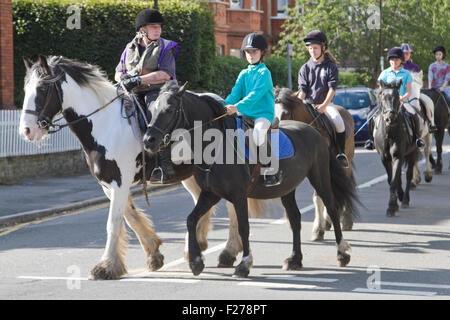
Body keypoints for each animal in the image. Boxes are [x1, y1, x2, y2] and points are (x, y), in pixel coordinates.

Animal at [274, 87, 356, 240]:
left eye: (286, 114)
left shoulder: (319, 167)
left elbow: (318, 197)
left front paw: (318, 230)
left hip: (345, 161)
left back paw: (346, 221)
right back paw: (329, 221)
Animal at [372, 80, 418, 216]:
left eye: (397, 97)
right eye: (382, 96)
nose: (390, 118)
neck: (389, 133)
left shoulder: (398, 156)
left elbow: (394, 181)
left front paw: (392, 207)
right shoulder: (385, 159)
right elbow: (391, 179)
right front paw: (395, 202)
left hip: (413, 152)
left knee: (408, 175)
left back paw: (405, 200)